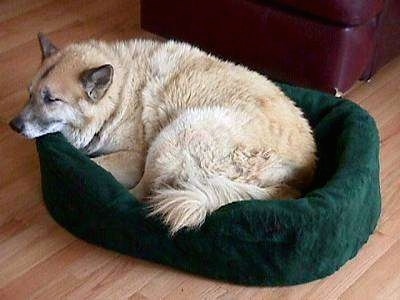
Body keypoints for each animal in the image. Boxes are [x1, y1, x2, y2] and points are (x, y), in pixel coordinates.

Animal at [8, 32, 316, 234]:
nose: (14, 126)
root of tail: (293, 183)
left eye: (51, 100)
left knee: (138, 196)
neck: (119, 95)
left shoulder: (133, 158)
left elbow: (99, 164)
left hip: (175, 135)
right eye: (30, 94)